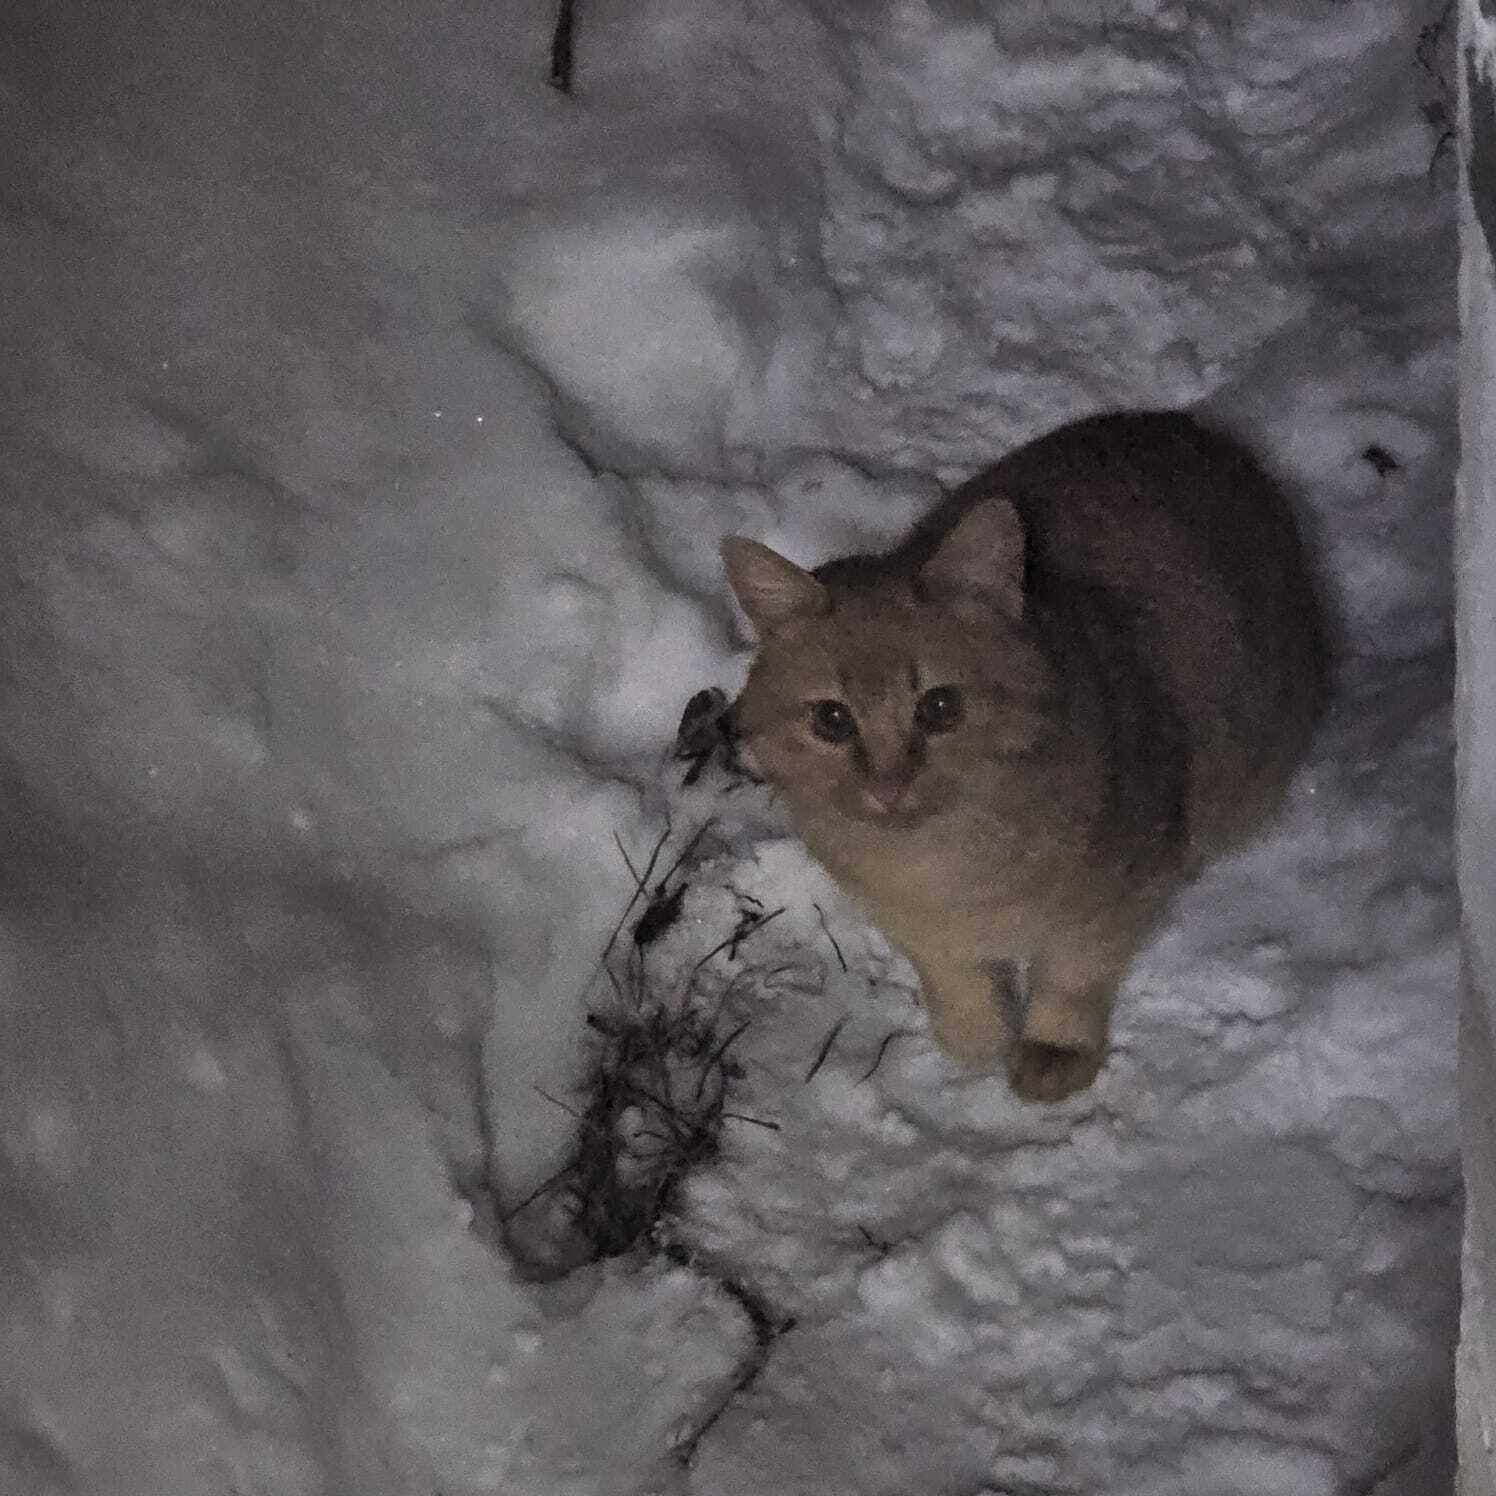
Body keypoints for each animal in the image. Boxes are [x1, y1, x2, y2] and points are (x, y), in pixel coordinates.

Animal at [718, 409, 1328, 1101]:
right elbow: (953, 980)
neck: (942, 870)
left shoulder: (1117, 898)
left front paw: (1052, 1047)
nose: (889, 786)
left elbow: (1074, 974)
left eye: (940, 707)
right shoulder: (913, 925)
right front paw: (974, 1038)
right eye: (831, 719)